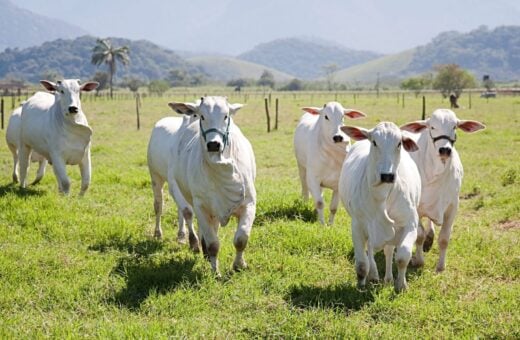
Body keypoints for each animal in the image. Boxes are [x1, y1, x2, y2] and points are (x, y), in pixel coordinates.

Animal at [150, 107, 201, 252]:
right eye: (195, 114)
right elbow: (188, 211)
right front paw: (194, 242)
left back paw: (181, 234)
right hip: (155, 177)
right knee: (158, 205)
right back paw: (158, 233)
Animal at [167, 96, 256, 276]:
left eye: (226, 116)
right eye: (202, 116)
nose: (213, 144)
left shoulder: (249, 203)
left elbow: (241, 238)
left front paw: (239, 265)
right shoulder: (201, 206)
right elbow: (213, 244)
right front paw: (215, 272)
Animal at [338, 121, 422, 290]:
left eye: (399, 143)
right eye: (375, 142)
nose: (387, 175)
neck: (381, 196)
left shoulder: (410, 223)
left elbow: (402, 256)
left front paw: (401, 285)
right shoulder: (358, 226)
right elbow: (361, 264)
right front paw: (360, 286)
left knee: (388, 251)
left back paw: (388, 278)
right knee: (370, 250)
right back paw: (374, 275)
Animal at [400, 110, 486, 272]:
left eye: (454, 126)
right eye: (432, 127)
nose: (445, 150)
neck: (435, 173)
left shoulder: (452, 206)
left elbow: (444, 238)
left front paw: (440, 266)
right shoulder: (415, 207)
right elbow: (419, 235)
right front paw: (419, 261)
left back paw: (430, 238)